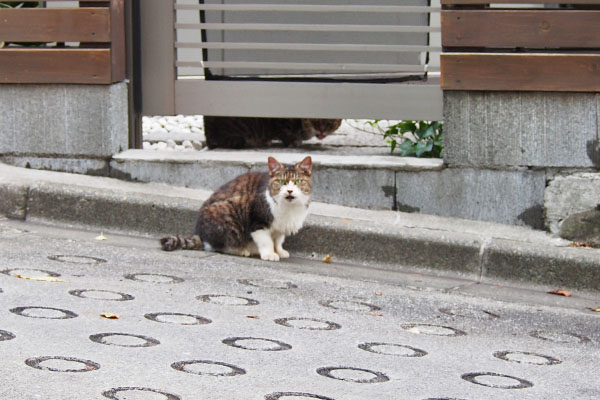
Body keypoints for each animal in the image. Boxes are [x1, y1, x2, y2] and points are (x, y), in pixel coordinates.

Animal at [159, 155, 314, 260]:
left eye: (298, 181)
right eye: (281, 182)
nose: (289, 191)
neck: (289, 208)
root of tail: (201, 236)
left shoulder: (281, 226)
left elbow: (278, 240)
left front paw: (279, 251)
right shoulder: (257, 221)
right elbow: (266, 241)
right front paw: (270, 254)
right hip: (227, 211)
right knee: (217, 246)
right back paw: (240, 250)